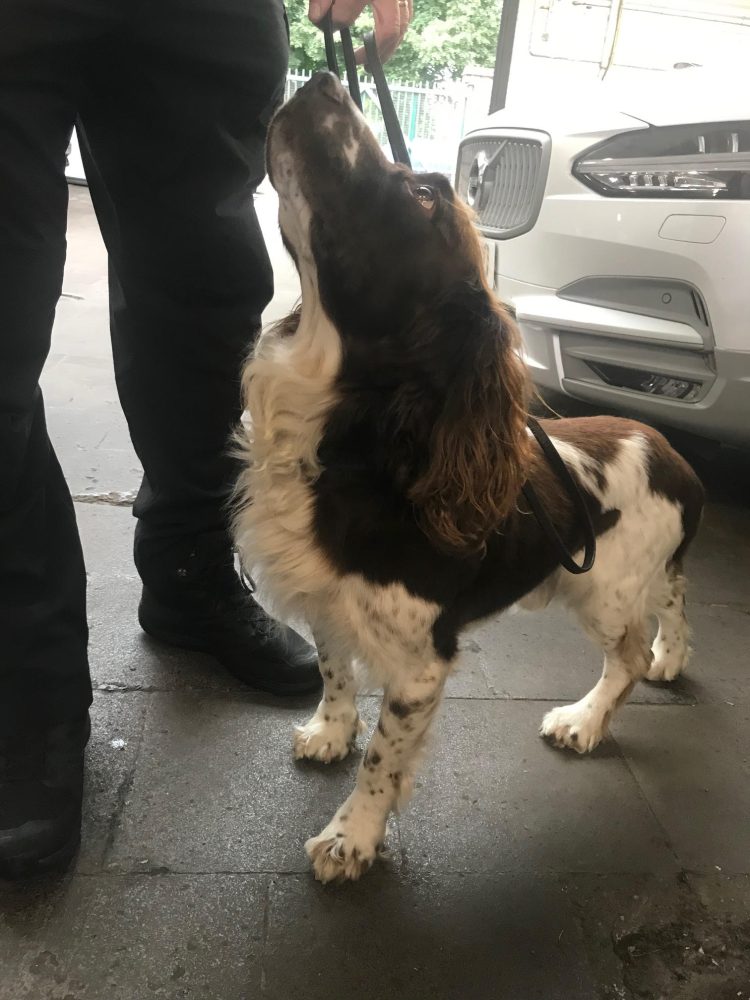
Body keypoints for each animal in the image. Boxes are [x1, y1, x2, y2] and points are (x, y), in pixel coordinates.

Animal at [234, 72, 704, 884]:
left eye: (424, 194)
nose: (324, 80)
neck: (361, 449)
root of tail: (670, 451)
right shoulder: (327, 599)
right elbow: (333, 670)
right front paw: (329, 732)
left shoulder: (422, 664)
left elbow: (383, 760)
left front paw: (351, 838)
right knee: (673, 598)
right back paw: (672, 659)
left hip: (604, 593)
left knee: (628, 654)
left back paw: (585, 720)